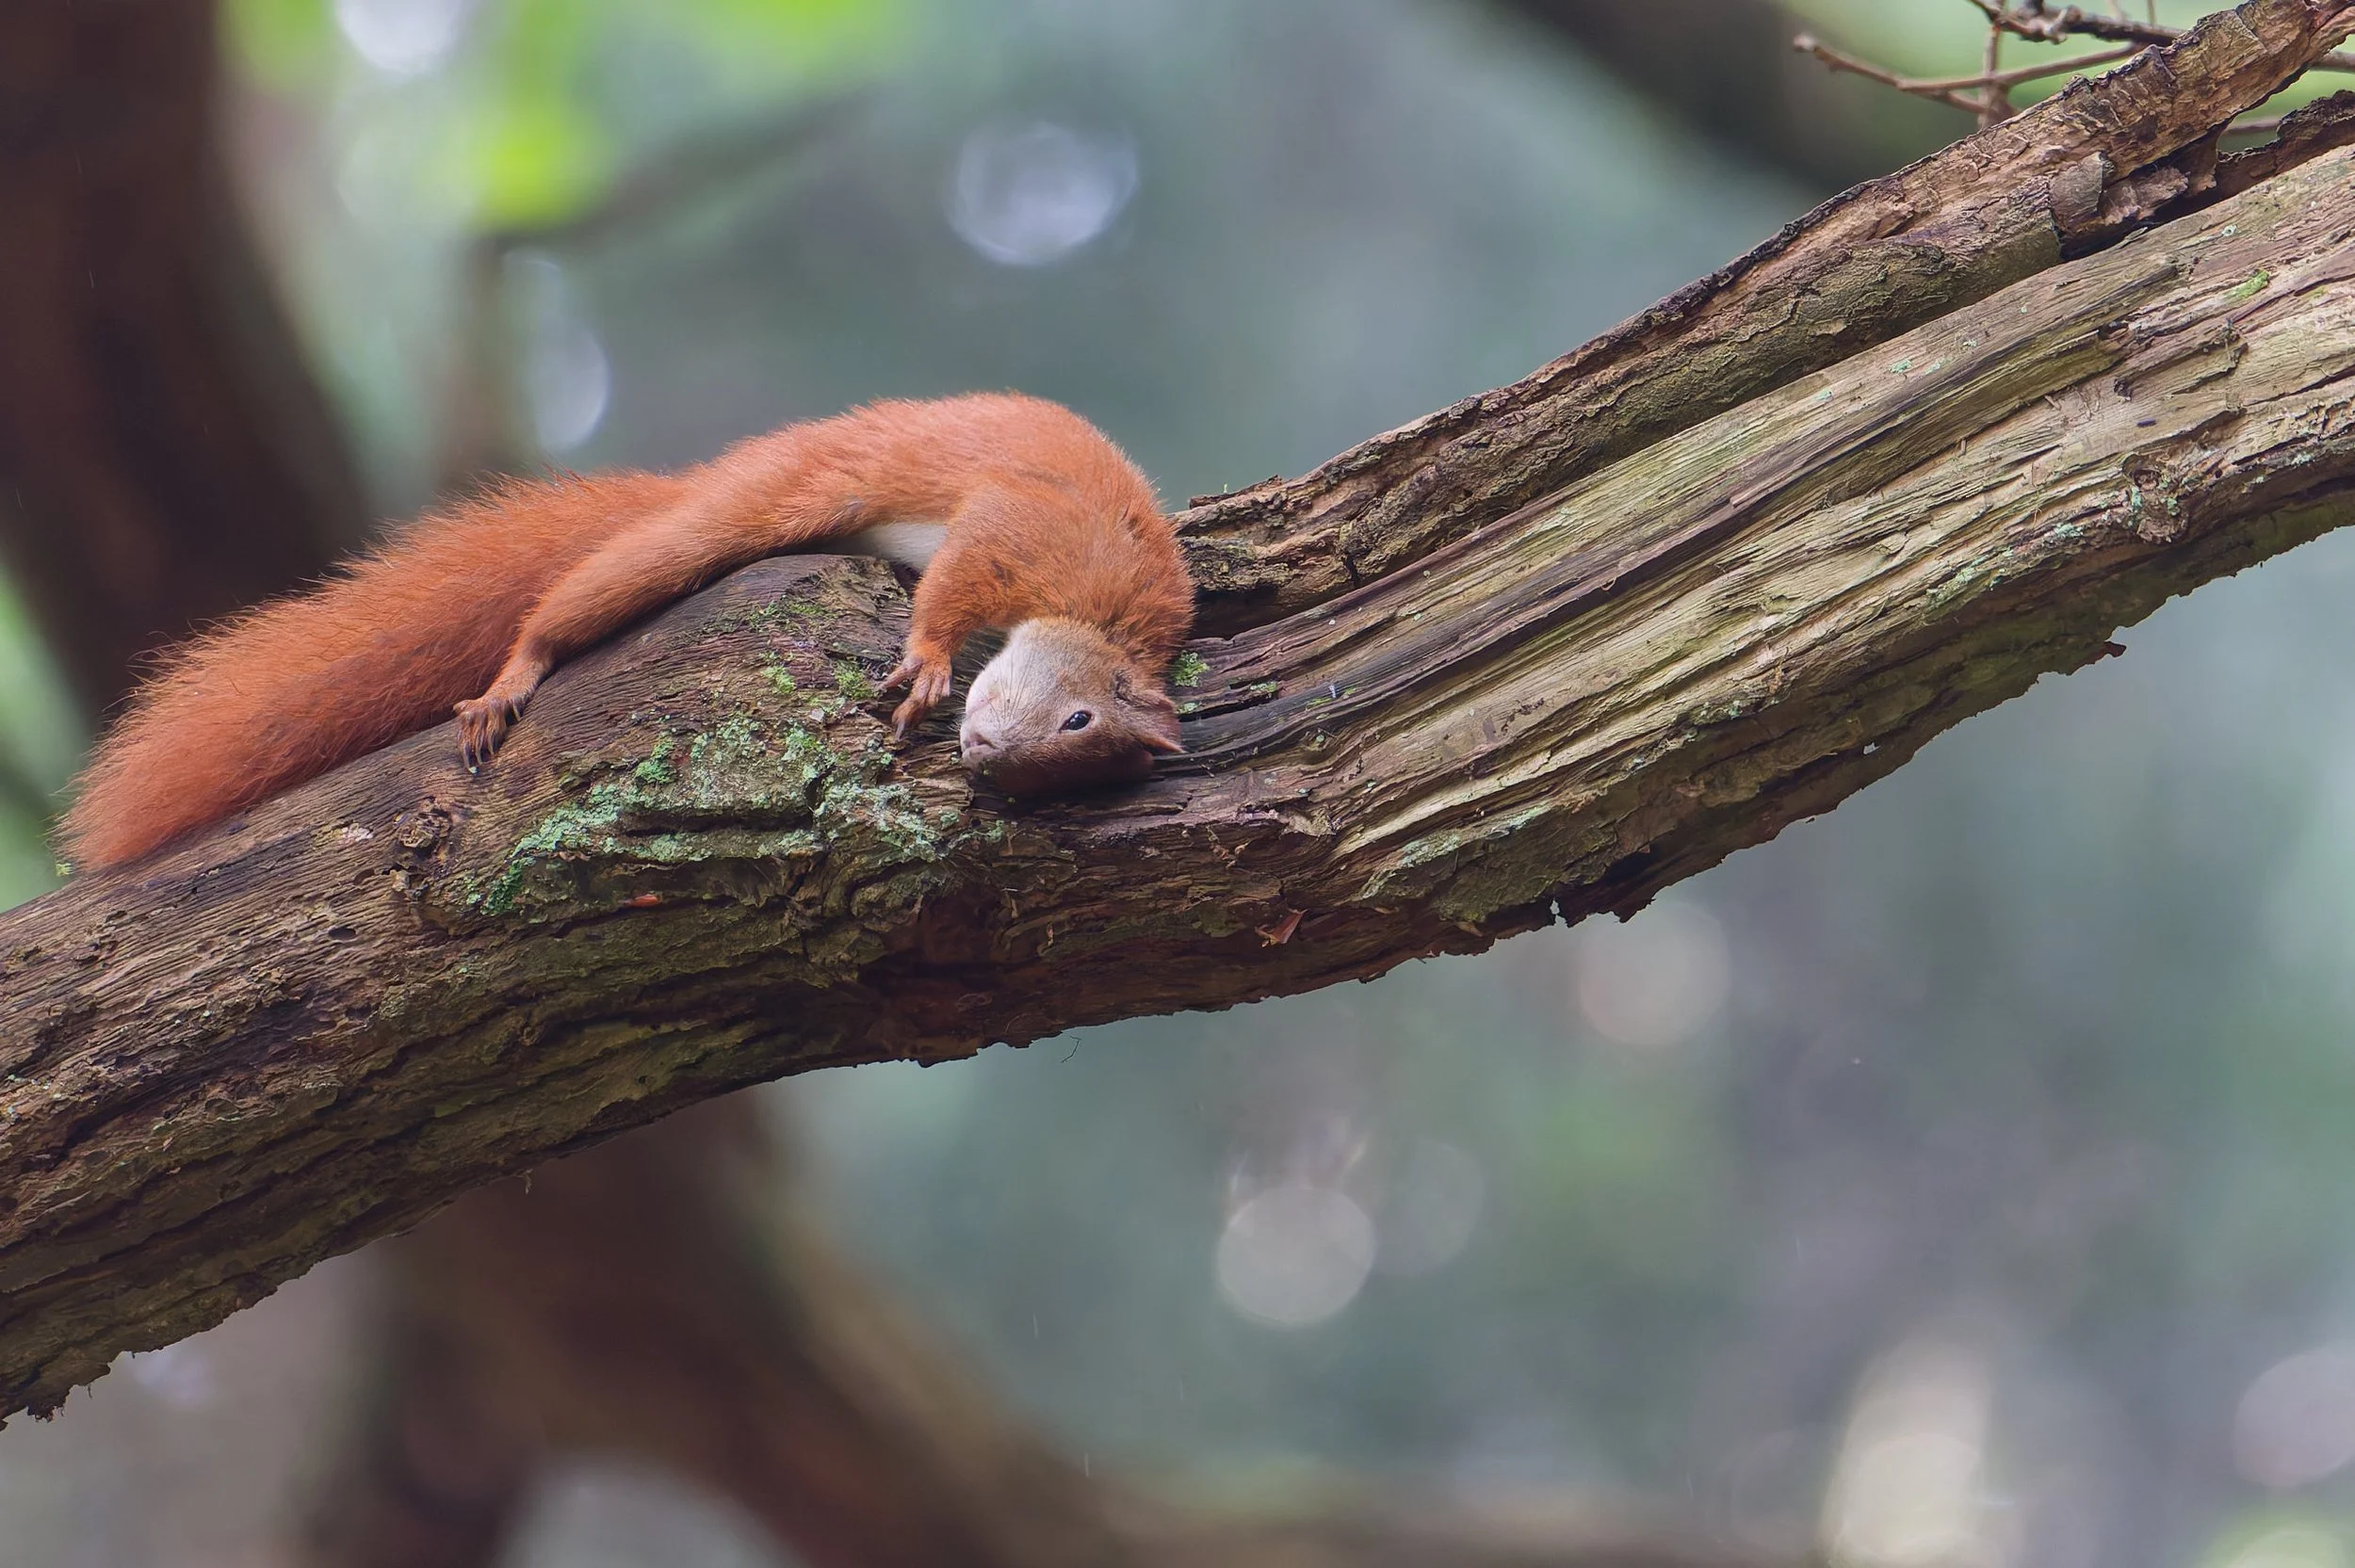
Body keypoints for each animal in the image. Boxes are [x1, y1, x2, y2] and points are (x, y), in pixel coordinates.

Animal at [60, 393, 1193, 871]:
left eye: (1088, 751)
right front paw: (923, 663)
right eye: (1078, 716)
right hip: (749, 509)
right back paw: (512, 676)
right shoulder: (1021, 529)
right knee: (578, 596)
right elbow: (949, 592)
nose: (992, 755)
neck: (1106, 611)